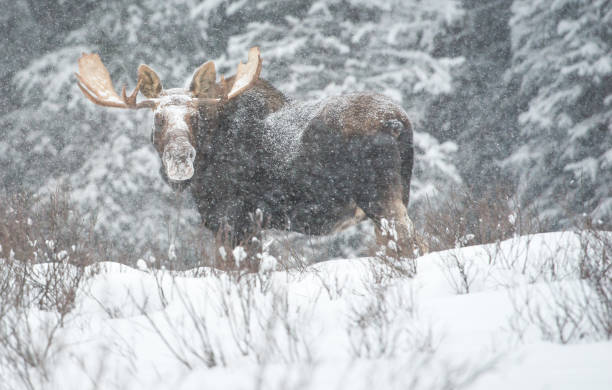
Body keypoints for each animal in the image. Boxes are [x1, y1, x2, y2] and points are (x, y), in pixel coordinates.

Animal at [74, 47, 416, 256]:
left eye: (195, 116)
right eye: (158, 118)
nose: (180, 158)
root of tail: (397, 121)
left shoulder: (230, 216)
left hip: (378, 197)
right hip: (397, 195)